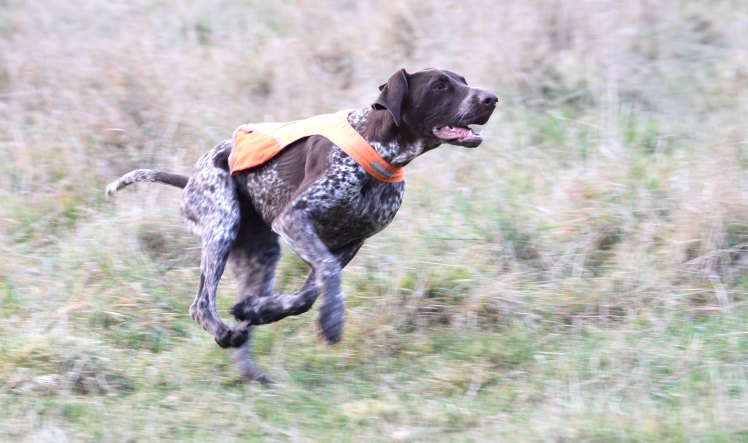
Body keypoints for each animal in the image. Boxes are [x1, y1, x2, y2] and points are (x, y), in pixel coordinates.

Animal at [106, 68, 498, 381]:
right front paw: (332, 322)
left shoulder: (350, 243)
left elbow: (308, 294)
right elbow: (325, 276)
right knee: (201, 304)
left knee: (240, 311)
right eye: (440, 85)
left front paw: (262, 311)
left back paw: (250, 366)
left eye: (463, 81)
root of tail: (190, 178)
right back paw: (224, 335)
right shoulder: (295, 220)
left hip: (260, 253)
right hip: (221, 226)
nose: (491, 98)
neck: (378, 148)